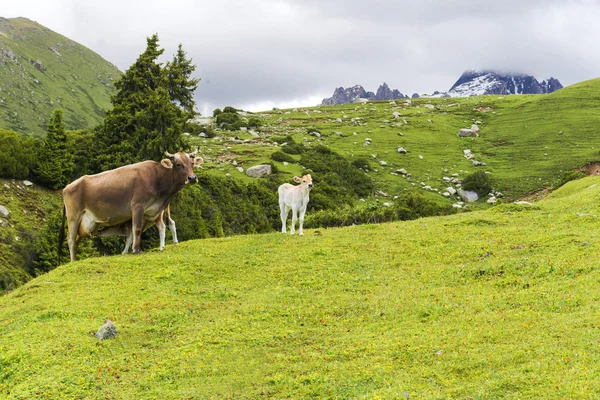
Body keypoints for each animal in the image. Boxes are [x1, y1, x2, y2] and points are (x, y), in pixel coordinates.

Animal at [60, 151, 202, 262]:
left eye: (192, 163)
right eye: (178, 164)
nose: (192, 178)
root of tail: (68, 186)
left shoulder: (153, 210)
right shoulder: (137, 206)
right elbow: (137, 229)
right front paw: (136, 250)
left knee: (76, 239)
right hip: (74, 216)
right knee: (71, 239)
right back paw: (73, 261)